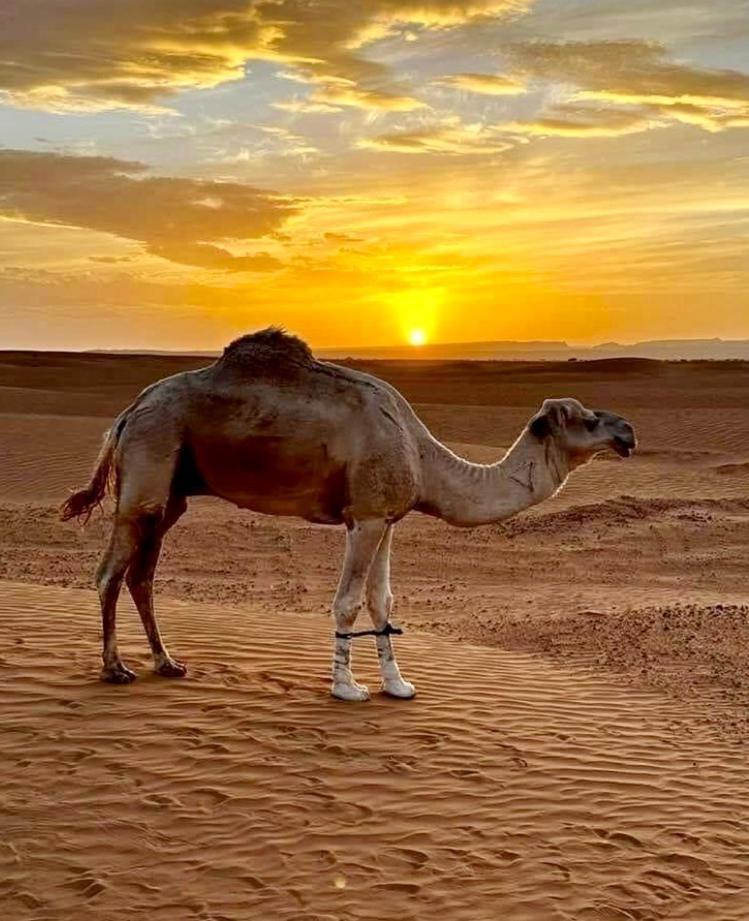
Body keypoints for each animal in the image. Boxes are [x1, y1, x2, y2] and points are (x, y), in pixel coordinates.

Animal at [64, 328, 636, 700]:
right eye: (586, 420)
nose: (628, 432)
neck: (422, 456)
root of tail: (129, 410)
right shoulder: (363, 517)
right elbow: (347, 603)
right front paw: (347, 688)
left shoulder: (386, 518)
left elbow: (383, 602)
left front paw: (398, 685)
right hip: (149, 460)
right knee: (110, 572)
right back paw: (116, 669)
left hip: (173, 492)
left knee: (142, 574)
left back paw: (168, 663)